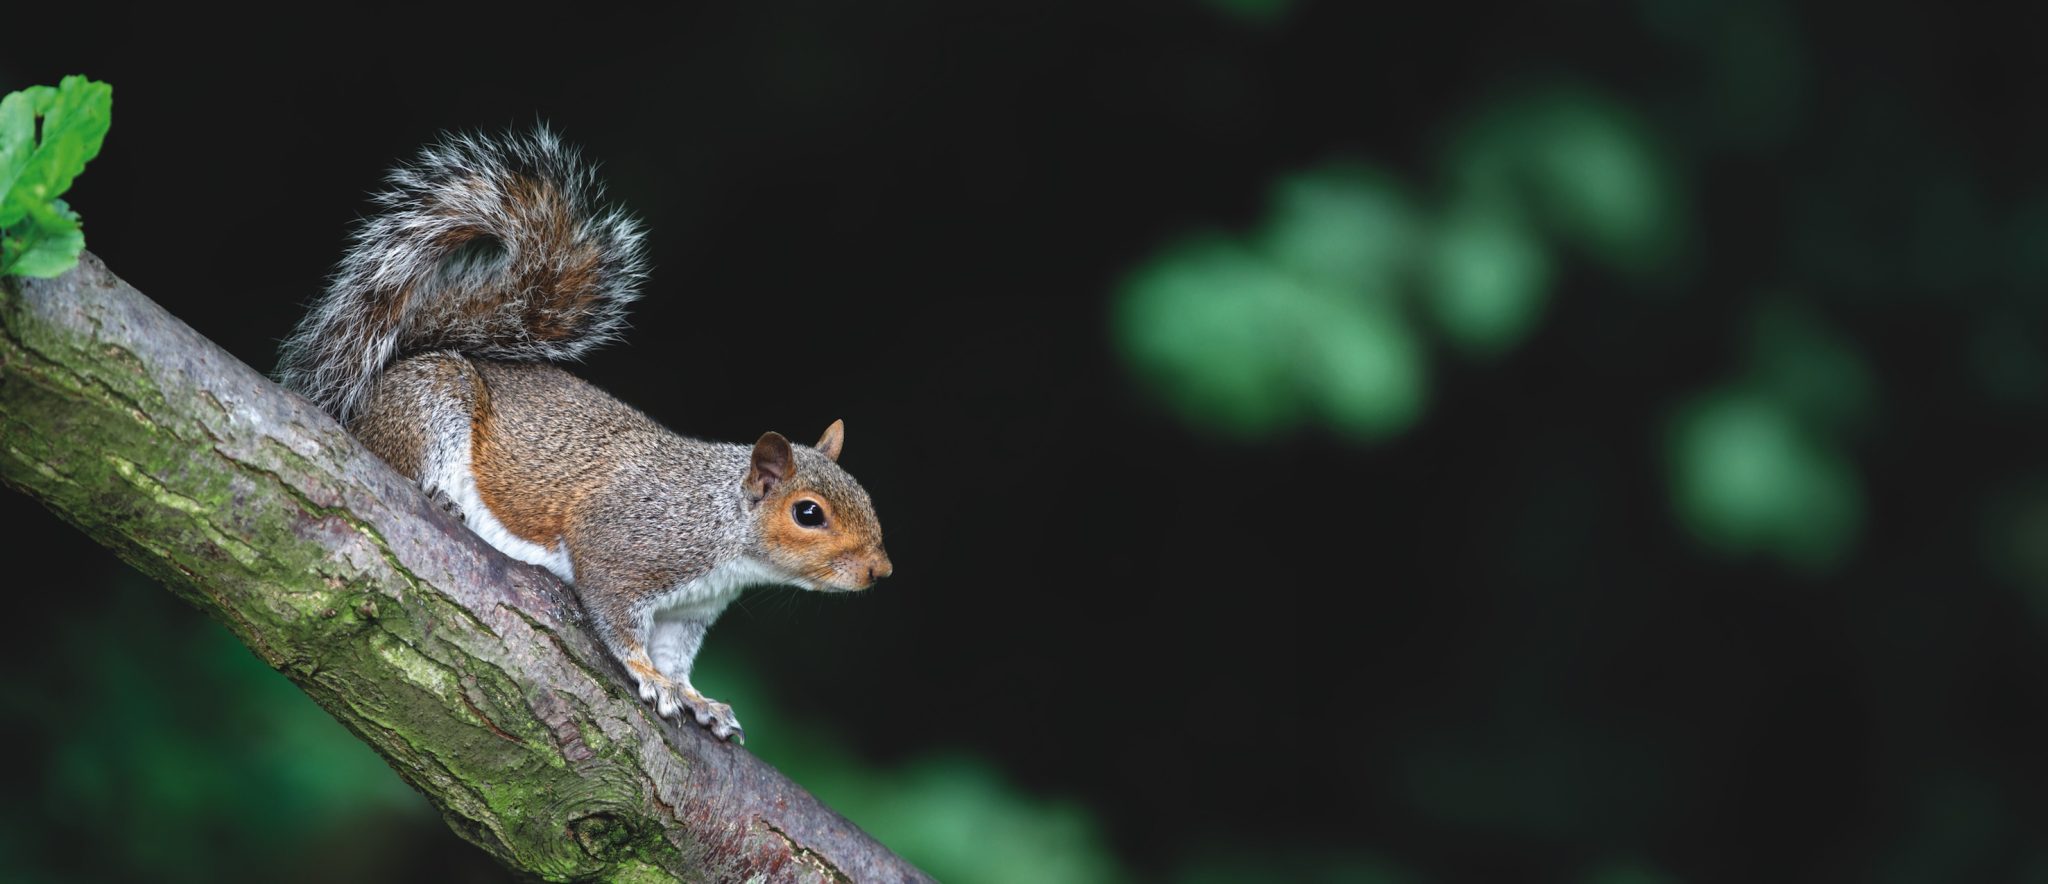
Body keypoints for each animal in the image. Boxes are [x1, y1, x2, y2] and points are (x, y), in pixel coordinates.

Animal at [276, 128, 892, 742]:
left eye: (864, 496)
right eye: (808, 513)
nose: (880, 571)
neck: (721, 522)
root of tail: (376, 390)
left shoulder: (687, 612)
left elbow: (676, 656)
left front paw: (698, 698)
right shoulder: (624, 547)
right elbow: (618, 621)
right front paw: (651, 679)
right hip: (430, 405)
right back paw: (437, 495)